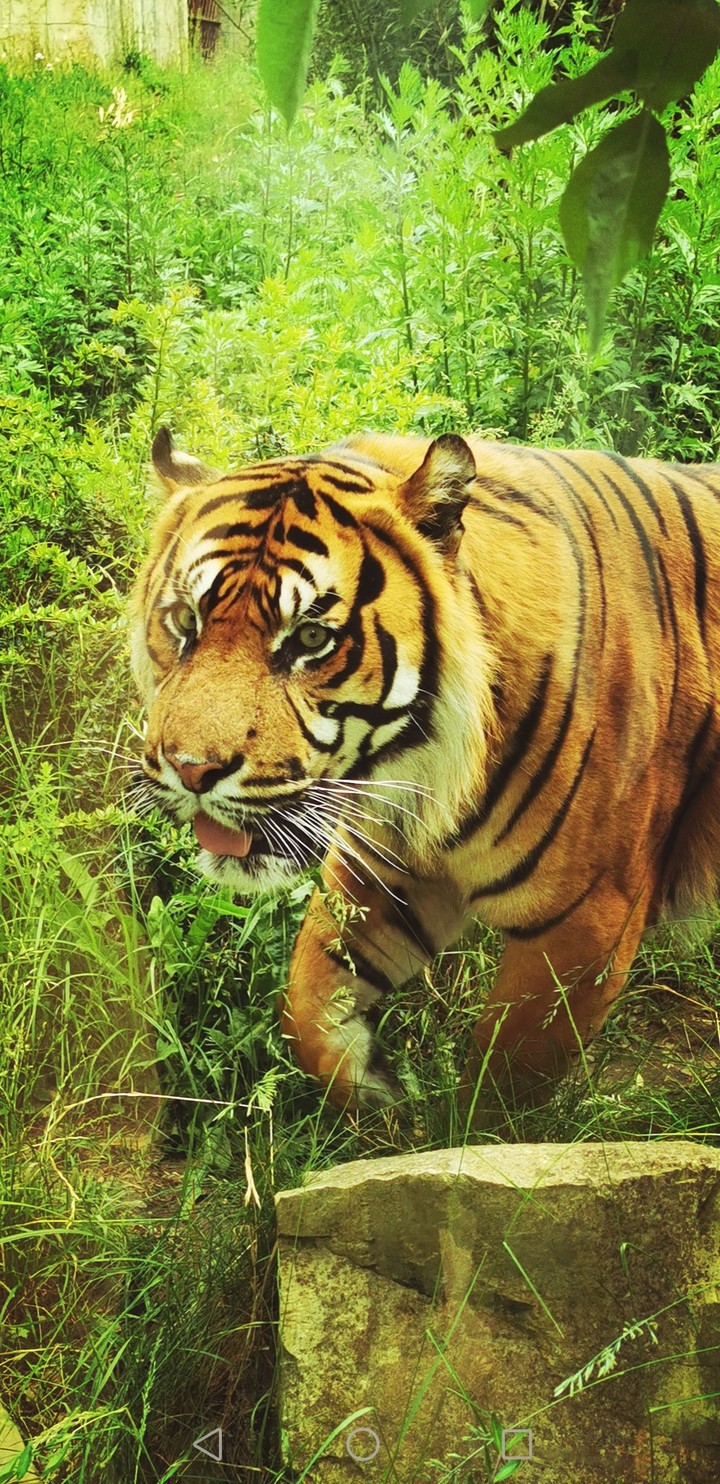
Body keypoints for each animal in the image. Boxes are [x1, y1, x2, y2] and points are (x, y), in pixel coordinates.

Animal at [130, 424, 720, 1118]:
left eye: (309, 639)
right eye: (184, 622)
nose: (191, 771)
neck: (420, 772)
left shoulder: (585, 925)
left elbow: (501, 1086)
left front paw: (456, 1137)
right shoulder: (385, 869)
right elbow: (306, 1005)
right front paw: (374, 1090)